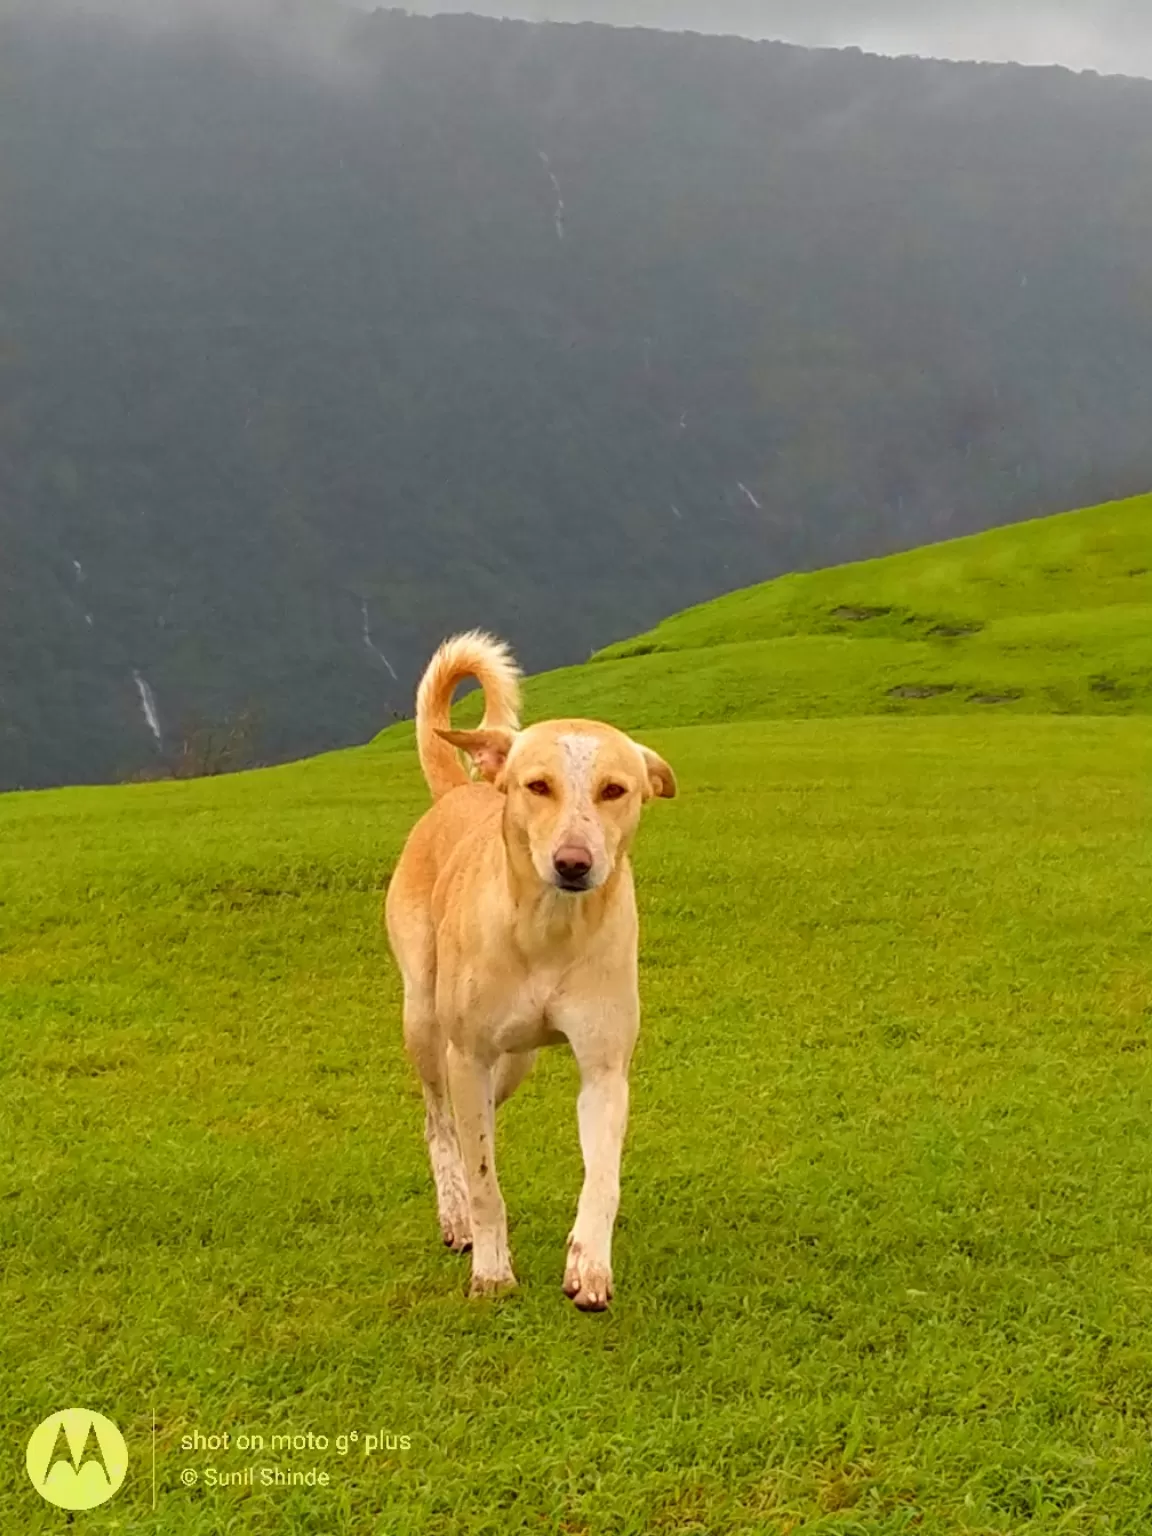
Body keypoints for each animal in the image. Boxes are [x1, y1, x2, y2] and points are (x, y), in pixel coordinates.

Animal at [385, 629, 675, 1314]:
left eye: (615, 790)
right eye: (537, 786)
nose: (573, 862)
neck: (549, 934)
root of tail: (458, 790)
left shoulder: (604, 1067)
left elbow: (603, 1179)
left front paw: (589, 1266)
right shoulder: (467, 1052)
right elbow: (484, 1179)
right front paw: (492, 1270)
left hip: (516, 1062)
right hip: (427, 1022)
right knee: (440, 1122)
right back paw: (455, 1215)